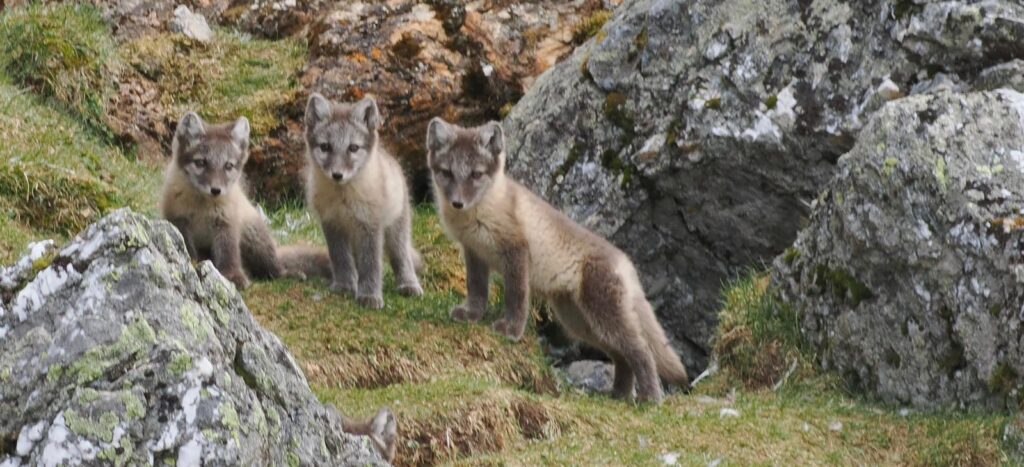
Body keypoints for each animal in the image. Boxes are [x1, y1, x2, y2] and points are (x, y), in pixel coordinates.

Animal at [161, 112, 331, 289]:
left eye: (228, 166)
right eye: (200, 162)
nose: (216, 190)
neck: (203, 207)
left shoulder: (226, 223)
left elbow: (228, 254)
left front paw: (233, 277)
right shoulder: (179, 221)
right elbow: (188, 249)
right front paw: (193, 264)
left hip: (255, 239)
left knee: (274, 269)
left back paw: (288, 274)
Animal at [303, 93, 423, 309]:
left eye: (353, 148)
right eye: (325, 147)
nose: (337, 175)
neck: (343, 199)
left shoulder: (370, 225)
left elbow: (371, 264)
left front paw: (369, 296)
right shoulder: (332, 224)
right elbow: (340, 258)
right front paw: (344, 285)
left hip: (396, 229)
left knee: (401, 256)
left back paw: (408, 284)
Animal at [425, 118, 689, 404]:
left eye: (476, 174)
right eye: (447, 172)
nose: (457, 203)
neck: (480, 212)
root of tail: (625, 262)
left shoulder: (516, 250)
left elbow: (516, 296)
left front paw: (511, 331)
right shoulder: (473, 252)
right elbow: (476, 290)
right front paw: (471, 315)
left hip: (604, 315)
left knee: (642, 351)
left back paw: (649, 398)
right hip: (580, 322)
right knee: (622, 356)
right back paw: (618, 395)